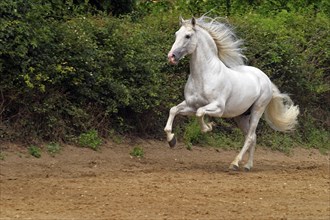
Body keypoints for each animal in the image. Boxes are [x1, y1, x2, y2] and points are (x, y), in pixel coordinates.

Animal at [164, 16, 300, 171]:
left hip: (257, 110)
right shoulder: (190, 105)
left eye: (188, 36)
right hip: (241, 117)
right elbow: (174, 110)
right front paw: (171, 140)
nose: (171, 57)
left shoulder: (218, 108)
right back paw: (248, 165)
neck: (204, 76)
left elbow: (200, 113)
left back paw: (235, 163)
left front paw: (208, 127)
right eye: (176, 34)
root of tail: (266, 79)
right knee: (252, 137)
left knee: (250, 137)